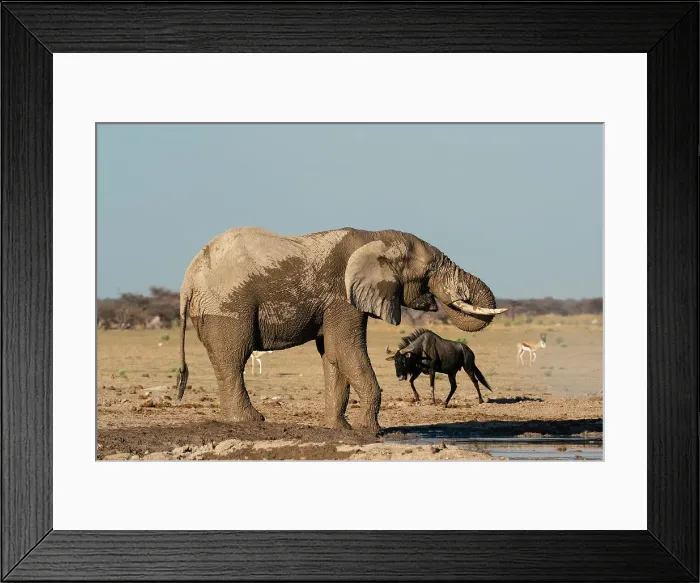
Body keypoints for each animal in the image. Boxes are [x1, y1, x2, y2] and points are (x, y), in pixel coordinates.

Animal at [176, 226, 506, 434]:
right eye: (431, 269)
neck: (376, 238)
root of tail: (188, 279)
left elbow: (333, 355)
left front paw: (340, 429)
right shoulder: (341, 297)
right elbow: (346, 350)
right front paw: (372, 432)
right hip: (228, 307)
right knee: (234, 360)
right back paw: (251, 421)